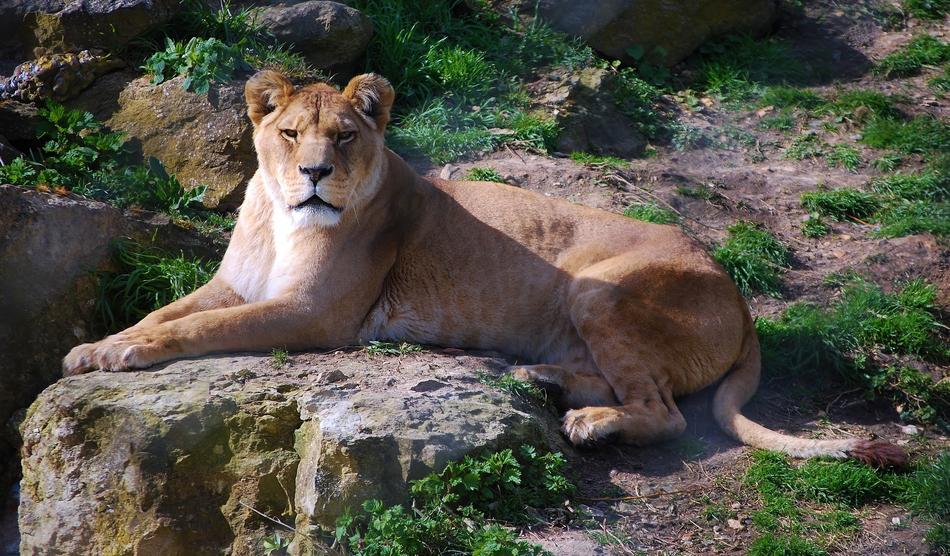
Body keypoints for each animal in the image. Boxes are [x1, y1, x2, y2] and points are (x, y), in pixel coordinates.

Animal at [63, 70, 904, 466]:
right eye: (293, 133)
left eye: (344, 137)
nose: (313, 174)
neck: (277, 217)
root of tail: (738, 291)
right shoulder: (236, 283)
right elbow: (167, 311)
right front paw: (93, 346)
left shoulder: (314, 313)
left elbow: (198, 330)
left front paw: (122, 354)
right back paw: (546, 381)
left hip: (599, 291)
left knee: (664, 412)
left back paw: (589, 422)